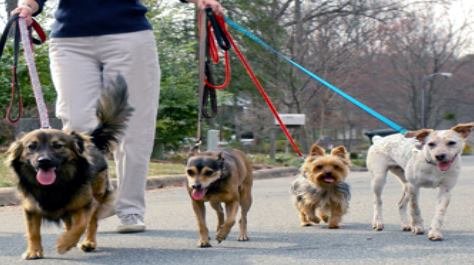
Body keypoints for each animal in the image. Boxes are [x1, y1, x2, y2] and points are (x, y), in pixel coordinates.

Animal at [6, 75, 133, 258]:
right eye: (31, 147)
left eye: (58, 146)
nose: (43, 161)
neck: (53, 186)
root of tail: (91, 140)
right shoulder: (31, 207)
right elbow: (33, 231)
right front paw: (34, 251)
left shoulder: (86, 203)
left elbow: (81, 225)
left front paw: (64, 243)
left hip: (97, 194)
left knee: (91, 222)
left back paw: (88, 242)